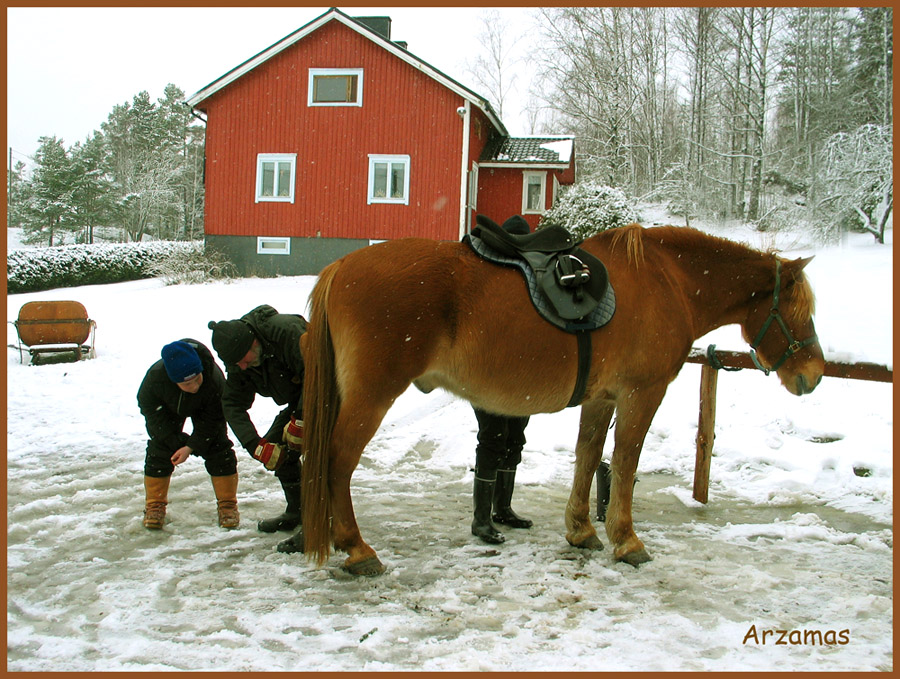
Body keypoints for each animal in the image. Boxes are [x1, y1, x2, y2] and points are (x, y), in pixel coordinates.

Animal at [298, 226, 828, 576]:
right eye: (798, 311)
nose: (814, 374)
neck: (667, 280)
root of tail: (341, 266)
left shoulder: (601, 398)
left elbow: (588, 456)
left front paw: (581, 530)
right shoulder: (641, 393)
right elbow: (626, 460)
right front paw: (626, 539)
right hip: (371, 396)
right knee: (337, 459)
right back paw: (357, 548)